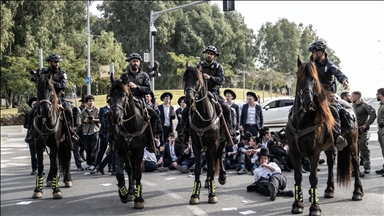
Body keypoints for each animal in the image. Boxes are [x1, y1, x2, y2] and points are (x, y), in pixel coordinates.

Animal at [108, 74, 152, 209]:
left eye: (123, 95)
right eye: (110, 96)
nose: (115, 117)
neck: (129, 126)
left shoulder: (139, 152)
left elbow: (138, 173)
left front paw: (139, 199)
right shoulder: (120, 151)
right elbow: (119, 174)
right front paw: (124, 194)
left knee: (134, 170)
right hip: (128, 153)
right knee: (129, 169)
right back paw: (131, 192)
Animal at [182, 62, 226, 204]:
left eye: (197, 79)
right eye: (185, 78)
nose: (188, 100)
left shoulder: (213, 144)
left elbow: (212, 167)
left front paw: (212, 194)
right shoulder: (196, 145)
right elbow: (197, 169)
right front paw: (195, 195)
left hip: (221, 142)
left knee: (219, 156)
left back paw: (222, 176)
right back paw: (207, 181)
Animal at [284, 56, 364, 215]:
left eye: (314, 79)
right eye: (299, 77)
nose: (307, 101)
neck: (301, 121)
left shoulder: (314, 152)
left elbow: (313, 178)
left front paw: (315, 207)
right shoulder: (293, 152)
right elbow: (298, 177)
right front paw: (297, 204)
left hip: (353, 142)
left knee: (356, 162)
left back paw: (357, 192)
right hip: (328, 147)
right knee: (331, 162)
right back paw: (329, 189)